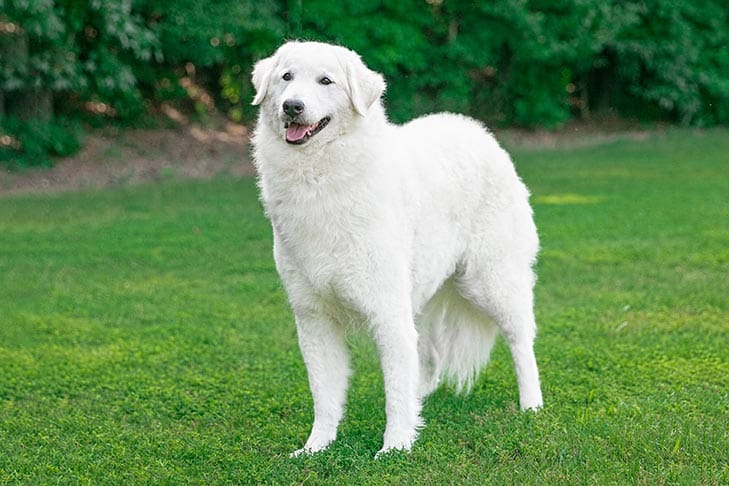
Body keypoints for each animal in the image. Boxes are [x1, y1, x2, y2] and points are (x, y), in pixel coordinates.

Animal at [250, 40, 540, 456]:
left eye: (326, 81)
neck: (320, 178)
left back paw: (531, 404)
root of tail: (477, 131)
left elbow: (394, 392)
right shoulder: (314, 318)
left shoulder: (387, 312)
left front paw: (395, 449)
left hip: (490, 283)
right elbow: (325, 395)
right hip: (425, 297)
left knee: (521, 341)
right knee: (428, 356)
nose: (292, 106)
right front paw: (315, 447)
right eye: (286, 77)